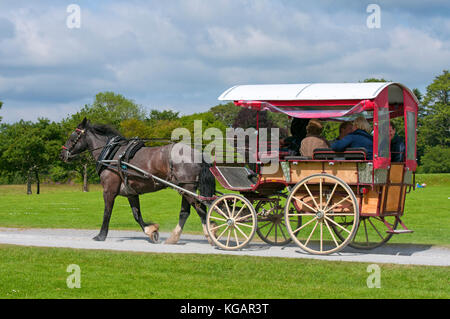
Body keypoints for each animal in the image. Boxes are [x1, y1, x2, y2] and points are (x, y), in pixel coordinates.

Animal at [60, 117, 216, 245]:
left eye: (73, 136)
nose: (62, 154)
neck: (112, 155)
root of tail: (196, 154)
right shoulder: (131, 193)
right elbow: (136, 214)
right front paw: (151, 231)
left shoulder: (109, 191)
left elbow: (107, 212)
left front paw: (101, 235)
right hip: (184, 188)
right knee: (185, 213)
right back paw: (174, 237)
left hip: (188, 189)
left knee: (202, 210)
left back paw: (211, 234)